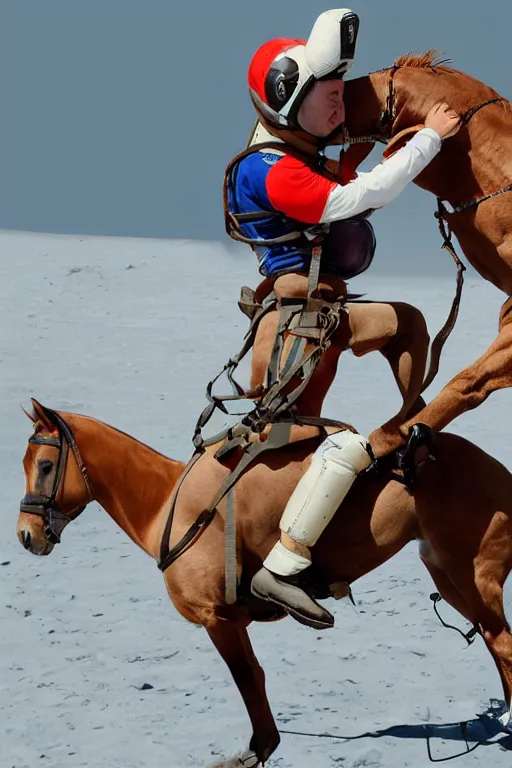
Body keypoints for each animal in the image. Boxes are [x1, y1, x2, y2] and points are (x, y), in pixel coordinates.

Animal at [16, 398, 512, 766]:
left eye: (45, 465)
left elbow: (249, 679)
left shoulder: (218, 619)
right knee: (494, 642)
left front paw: (257, 749)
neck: (167, 506)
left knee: (502, 643)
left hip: (472, 575)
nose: (26, 534)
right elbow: (252, 679)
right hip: (447, 576)